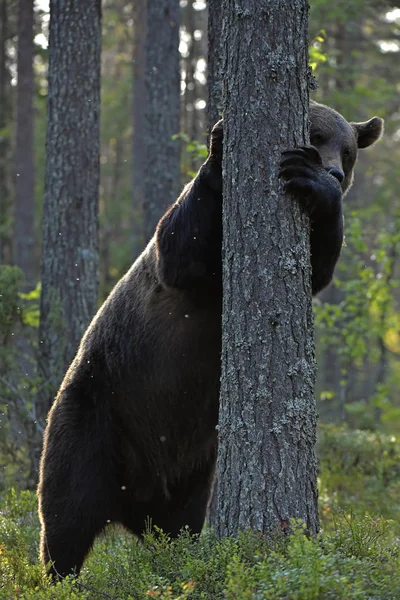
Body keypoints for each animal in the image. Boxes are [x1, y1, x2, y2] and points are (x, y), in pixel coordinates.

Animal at [38, 101, 384, 580]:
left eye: (348, 151)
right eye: (316, 136)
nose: (333, 171)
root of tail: (133, 496)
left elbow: (317, 270)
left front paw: (318, 189)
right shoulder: (184, 272)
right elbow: (179, 248)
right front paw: (220, 144)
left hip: (191, 469)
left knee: (178, 522)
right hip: (96, 414)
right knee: (67, 509)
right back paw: (59, 574)